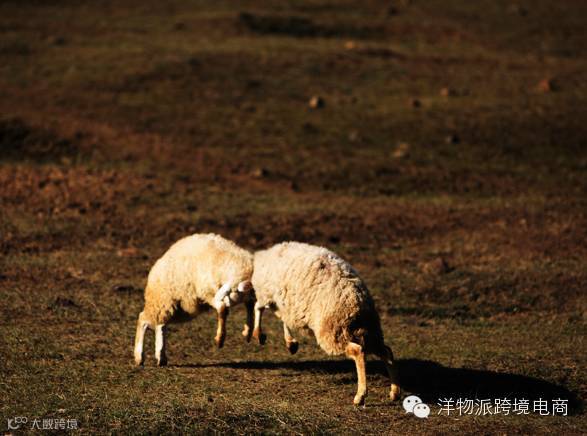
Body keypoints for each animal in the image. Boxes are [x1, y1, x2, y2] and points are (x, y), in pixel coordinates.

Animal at [133, 233, 254, 366]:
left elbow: (249, 308)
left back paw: (161, 357)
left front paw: (248, 332)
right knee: (143, 318)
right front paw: (220, 339)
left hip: (178, 307)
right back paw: (139, 357)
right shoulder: (207, 291)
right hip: (162, 299)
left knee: (161, 324)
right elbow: (223, 309)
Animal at [250, 242, 400, 406]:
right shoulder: (286, 304)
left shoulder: (268, 295)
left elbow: (258, 307)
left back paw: (360, 396)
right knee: (386, 351)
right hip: (369, 331)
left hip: (334, 331)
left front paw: (258, 334)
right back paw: (394, 392)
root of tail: (357, 301)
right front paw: (291, 343)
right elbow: (284, 320)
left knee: (358, 351)